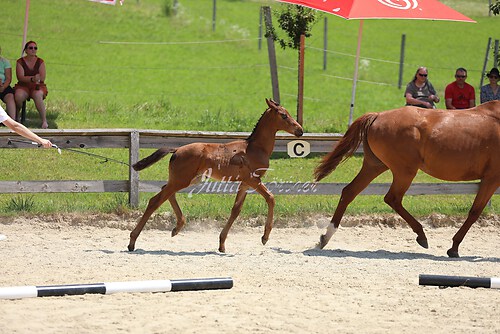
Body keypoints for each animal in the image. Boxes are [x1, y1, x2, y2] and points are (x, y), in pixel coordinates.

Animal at [127, 99, 302, 253]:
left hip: (188, 179)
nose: (300, 130)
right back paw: (132, 241)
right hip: (182, 180)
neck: (255, 148)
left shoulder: (244, 183)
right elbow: (271, 198)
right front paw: (265, 237)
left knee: (166, 192)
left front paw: (222, 244)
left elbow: (236, 210)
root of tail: (176, 150)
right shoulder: (253, 180)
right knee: (155, 200)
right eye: (284, 115)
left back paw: (177, 227)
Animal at [314, 100, 498, 258]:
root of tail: (378, 115)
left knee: (349, 191)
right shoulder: (492, 179)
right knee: (392, 198)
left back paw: (324, 238)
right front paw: (453, 248)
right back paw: (422, 236)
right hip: (404, 171)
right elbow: (475, 212)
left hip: (374, 165)